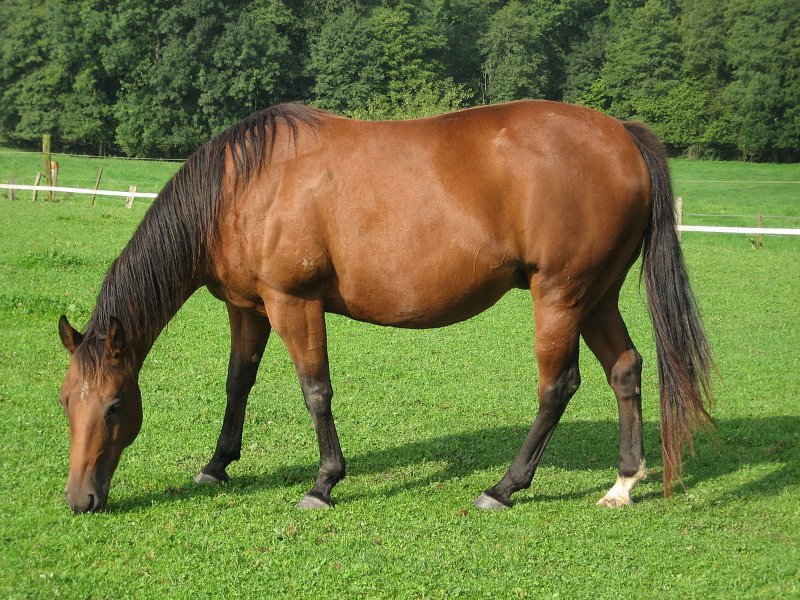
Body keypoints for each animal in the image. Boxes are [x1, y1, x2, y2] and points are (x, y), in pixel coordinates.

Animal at [59, 98, 716, 510]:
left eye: (114, 407)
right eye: (67, 402)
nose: (80, 500)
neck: (244, 186)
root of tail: (621, 134)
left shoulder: (293, 303)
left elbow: (315, 391)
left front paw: (324, 483)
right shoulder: (247, 308)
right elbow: (237, 383)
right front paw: (217, 465)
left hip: (560, 296)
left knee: (559, 386)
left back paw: (504, 487)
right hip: (596, 295)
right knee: (625, 369)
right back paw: (623, 483)